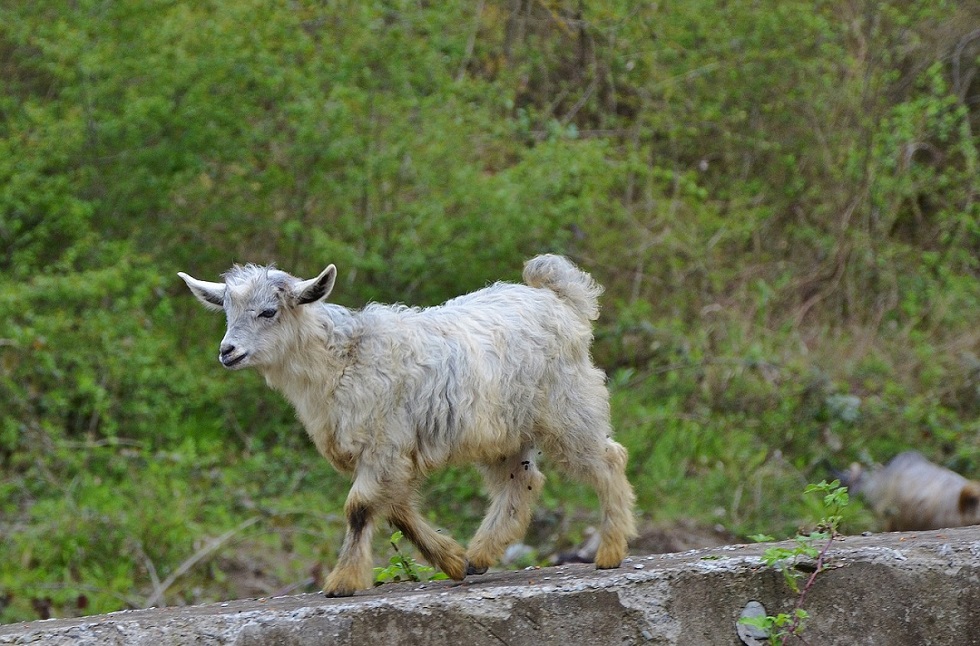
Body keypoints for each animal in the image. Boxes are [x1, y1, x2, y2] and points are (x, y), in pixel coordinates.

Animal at [179, 254, 637, 596]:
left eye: (268, 311)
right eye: (227, 312)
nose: (227, 351)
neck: (342, 360)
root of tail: (560, 299)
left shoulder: (383, 443)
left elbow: (360, 508)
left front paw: (343, 580)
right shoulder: (389, 452)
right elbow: (397, 511)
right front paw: (450, 560)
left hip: (569, 407)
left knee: (607, 459)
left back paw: (611, 550)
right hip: (504, 431)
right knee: (521, 482)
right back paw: (478, 556)